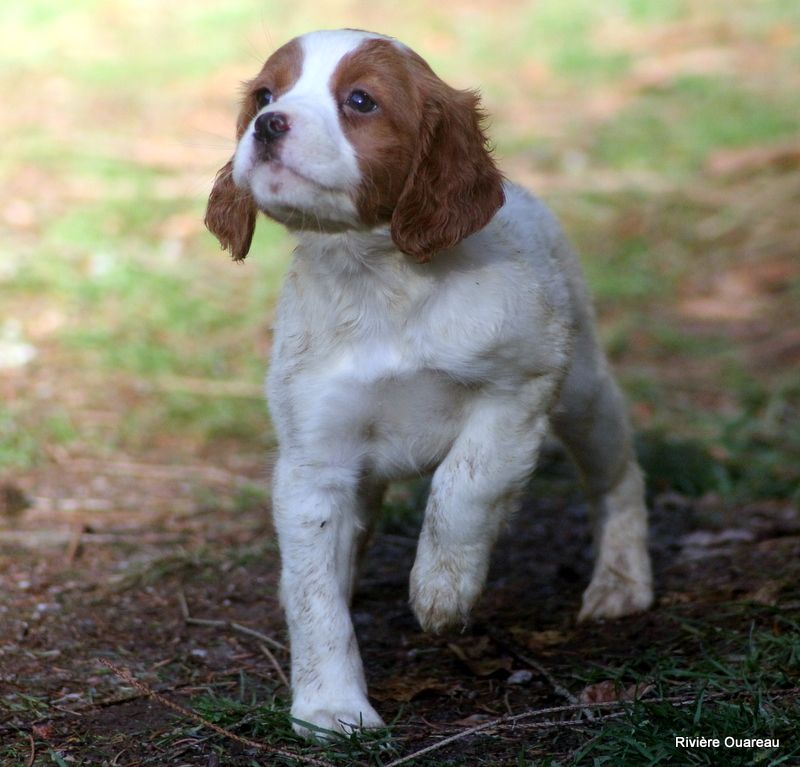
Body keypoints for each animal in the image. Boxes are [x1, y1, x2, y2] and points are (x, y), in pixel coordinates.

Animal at [203, 28, 652, 736]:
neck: (377, 280)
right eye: (264, 96)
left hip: (583, 391)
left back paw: (622, 582)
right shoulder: (314, 460)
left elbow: (464, 484)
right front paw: (331, 709)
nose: (269, 125)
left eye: (361, 100)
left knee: (618, 476)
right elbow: (313, 594)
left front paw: (441, 588)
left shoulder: (520, 388)